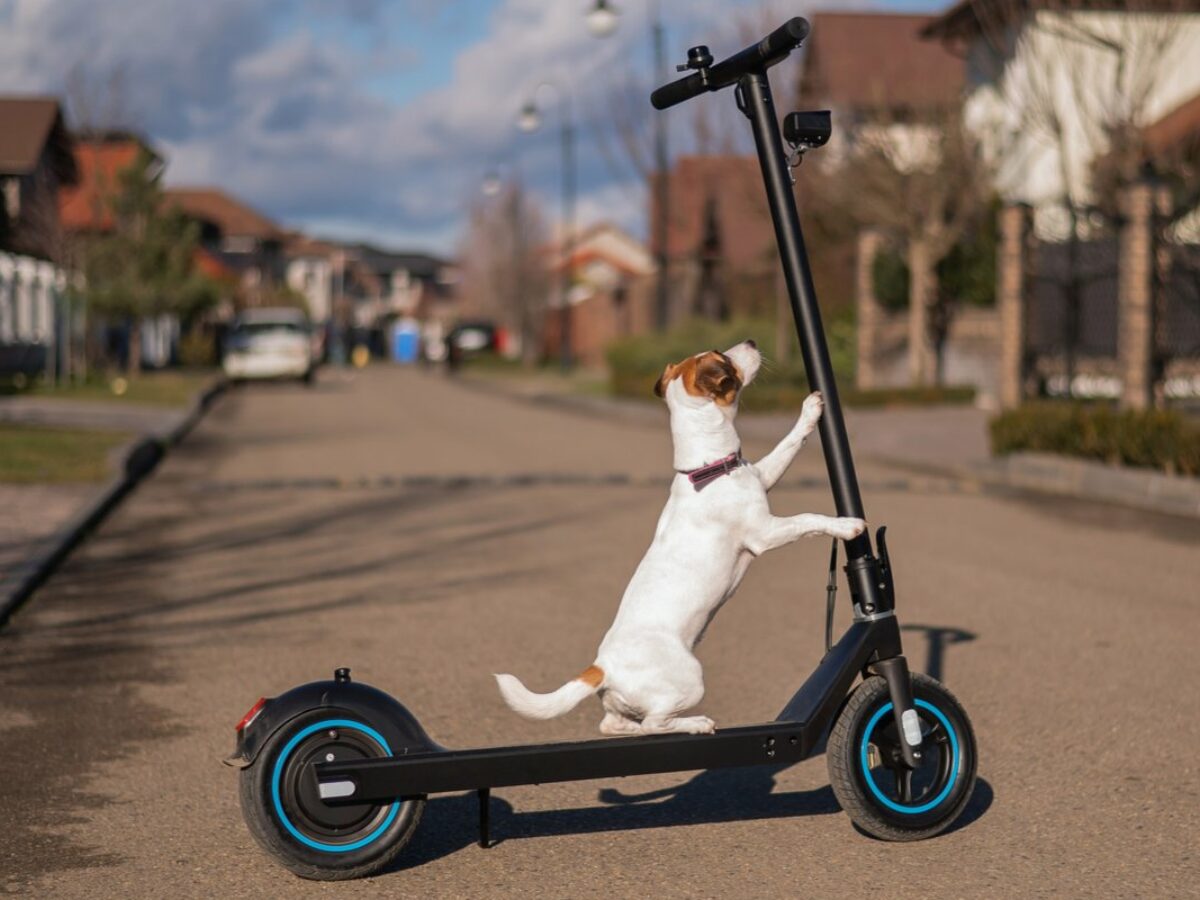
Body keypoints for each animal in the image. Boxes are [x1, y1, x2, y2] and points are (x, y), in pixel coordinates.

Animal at [492, 340, 868, 734]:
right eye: (724, 359)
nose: (750, 342)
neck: (707, 467)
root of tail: (603, 667)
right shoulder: (765, 532)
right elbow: (809, 519)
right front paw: (848, 525)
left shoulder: (764, 476)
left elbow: (787, 444)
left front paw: (810, 410)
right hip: (690, 680)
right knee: (654, 723)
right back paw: (696, 723)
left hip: (622, 704)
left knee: (613, 725)